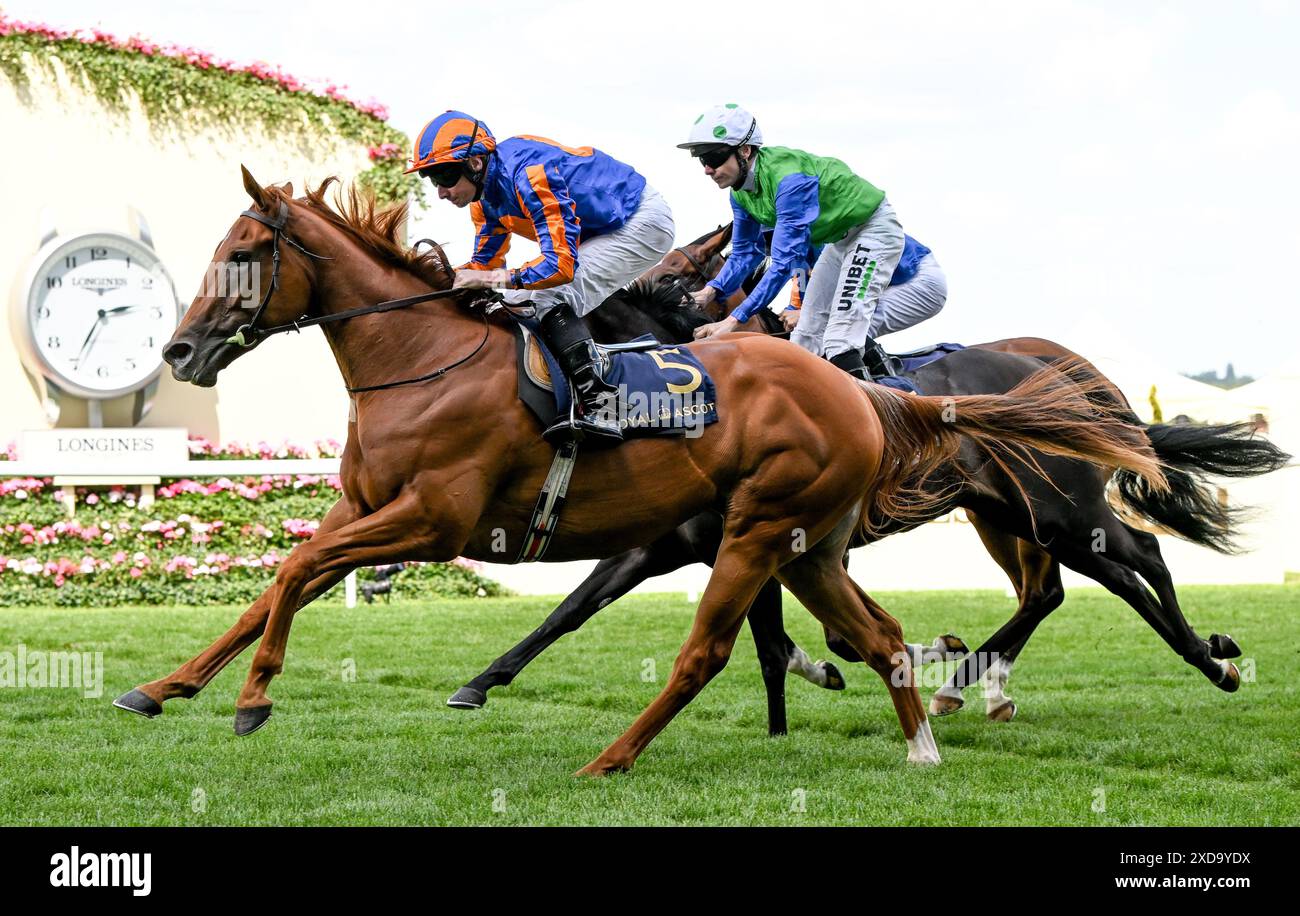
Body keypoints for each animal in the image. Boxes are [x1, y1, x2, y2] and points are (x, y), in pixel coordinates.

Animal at [114, 171, 1170, 769]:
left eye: (247, 250)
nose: (180, 351)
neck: (420, 359)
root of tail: (859, 394)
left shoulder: (439, 521)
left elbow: (297, 572)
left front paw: (252, 700)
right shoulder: (364, 509)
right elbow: (276, 584)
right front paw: (163, 688)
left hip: (798, 526)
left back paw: (612, 760)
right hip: (811, 543)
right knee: (885, 631)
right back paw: (925, 739)